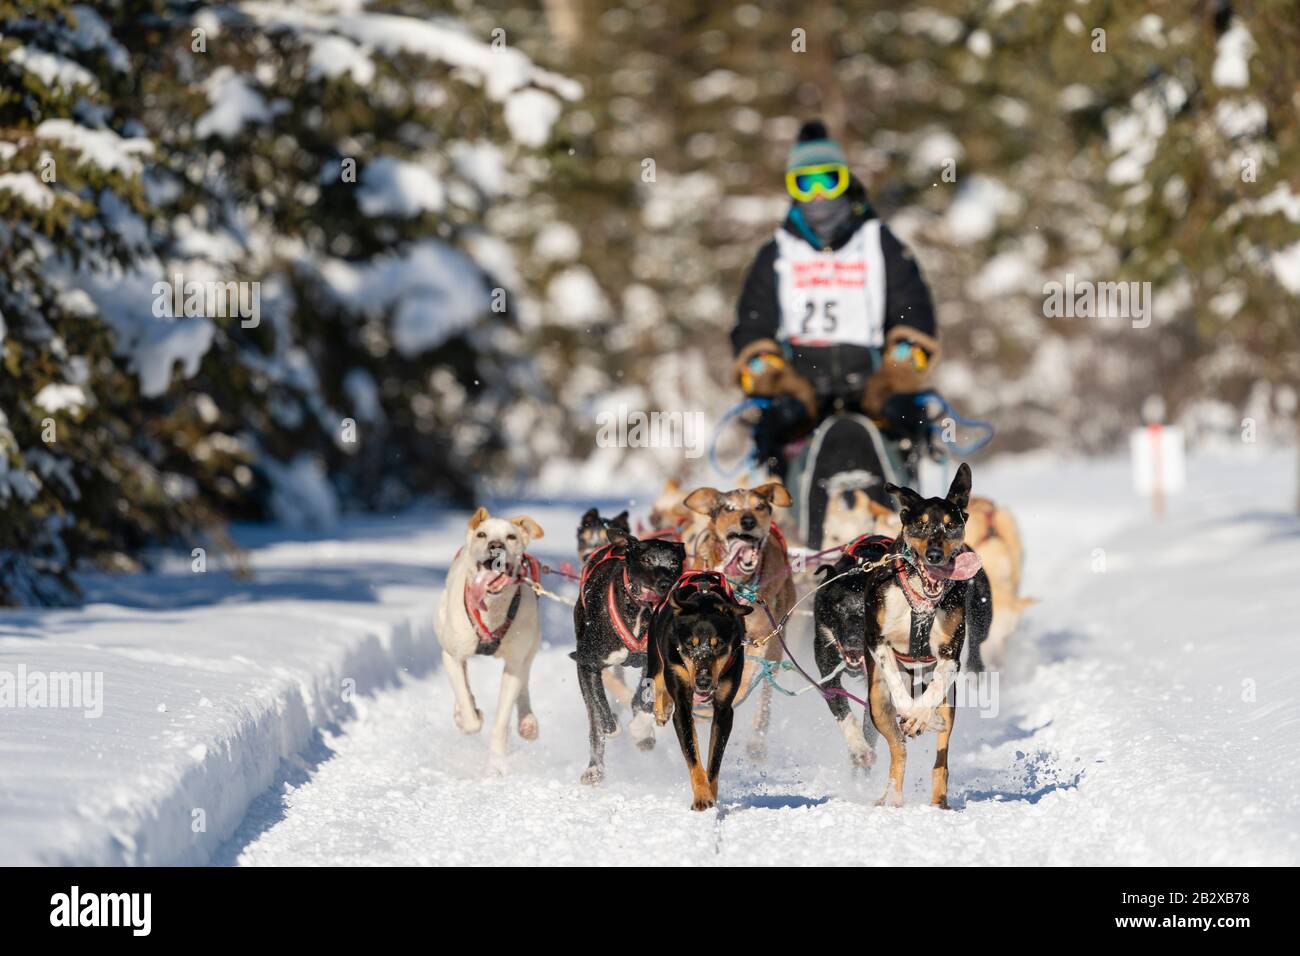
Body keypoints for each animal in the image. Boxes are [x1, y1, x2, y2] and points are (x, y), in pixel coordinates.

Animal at [434, 504, 540, 759]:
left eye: (511, 537)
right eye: (482, 534)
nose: (496, 545)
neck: (492, 611)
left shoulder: (513, 665)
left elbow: (501, 720)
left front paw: (497, 761)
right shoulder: (451, 656)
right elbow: (467, 707)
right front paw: (468, 716)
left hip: (531, 646)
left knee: (525, 678)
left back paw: (527, 721)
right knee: (463, 681)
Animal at [574, 522, 686, 785]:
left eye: (674, 562)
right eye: (646, 559)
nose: (665, 583)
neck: (640, 611)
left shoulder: (655, 663)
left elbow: (642, 700)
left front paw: (641, 731)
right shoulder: (587, 664)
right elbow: (601, 712)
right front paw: (614, 725)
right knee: (594, 720)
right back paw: (594, 768)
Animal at [642, 572, 748, 811]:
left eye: (719, 645)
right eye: (691, 644)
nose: (703, 681)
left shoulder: (724, 711)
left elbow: (714, 761)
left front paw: (711, 793)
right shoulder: (682, 705)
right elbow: (693, 756)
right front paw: (701, 796)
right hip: (655, 657)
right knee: (658, 680)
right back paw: (661, 708)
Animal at [681, 481, 790, 759]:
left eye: (760, 506)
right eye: (729, 508)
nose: (748, 521)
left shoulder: (758, 640)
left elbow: (743, 680)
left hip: (774, 652)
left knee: (764, 695)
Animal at [811, 463, 993, 806]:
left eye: (951, 526)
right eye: (921, 526)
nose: (934, 554)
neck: (920, 602)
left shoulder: (949, 657)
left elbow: (931, 695)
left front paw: (923, 716)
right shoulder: (876, 645)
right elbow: (897, 692)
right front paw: (912, 714)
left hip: (946, 704)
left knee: (939, 757)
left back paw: (936, 799)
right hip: (876, 704)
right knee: (897, 749)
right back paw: (892, 796)